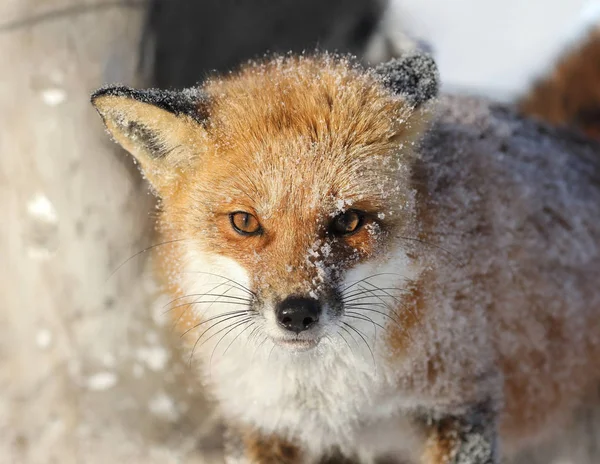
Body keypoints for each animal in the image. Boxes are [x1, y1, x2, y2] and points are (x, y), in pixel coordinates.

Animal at [91, 52, 600, 462]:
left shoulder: (458, 407)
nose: (297, 314)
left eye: (348, 221)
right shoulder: (265, 423)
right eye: (244, 222)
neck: (334, 397)